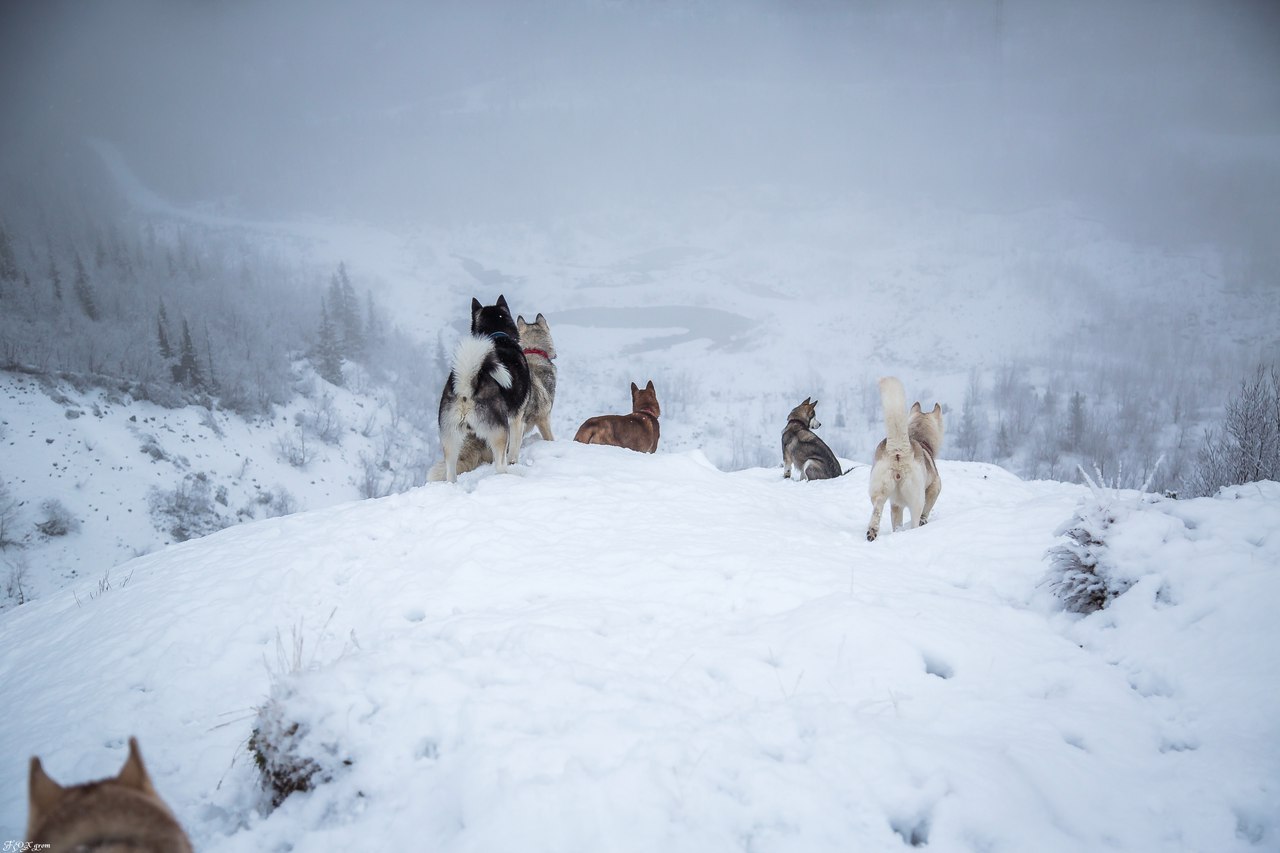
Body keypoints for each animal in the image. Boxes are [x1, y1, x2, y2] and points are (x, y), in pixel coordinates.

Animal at [432, 292, 527, 481]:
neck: (496, 335)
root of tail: (466, 388)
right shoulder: (517, 419)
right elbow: (514, 450)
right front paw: (515, 462)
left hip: (450, 439)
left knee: (450, 473)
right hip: (500, 431)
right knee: (500, 465)